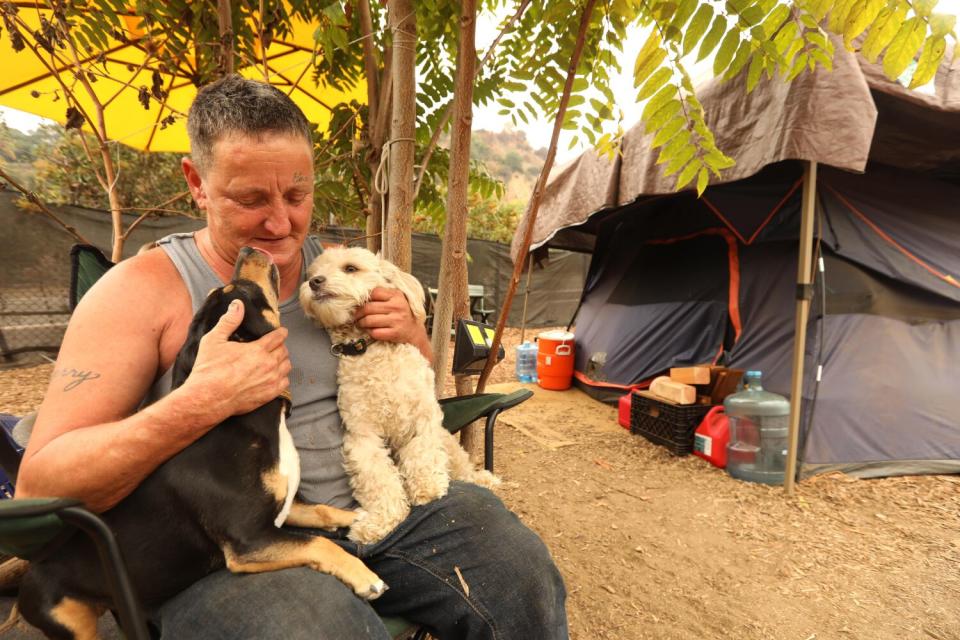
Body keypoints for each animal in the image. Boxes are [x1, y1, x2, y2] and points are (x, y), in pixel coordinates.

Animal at [15, 246, 382, 640]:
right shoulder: (249, 540)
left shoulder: (282, 510)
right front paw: (364, 576)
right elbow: (318, 541)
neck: (246, 422)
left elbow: (323, 512)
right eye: (243, 291)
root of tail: (27, 577)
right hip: (73, 623)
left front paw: (363, 515)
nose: (248, 249)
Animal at [302, 248, 498, 544]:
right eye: (312, 273)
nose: (315, 282)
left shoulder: (422, 418)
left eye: (350, 268)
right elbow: (378, 479)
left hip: (449, 444)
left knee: (464, 469)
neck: (371, 351)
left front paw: (427, 486)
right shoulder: (363, 437)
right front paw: (380, 522)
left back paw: (484, 480)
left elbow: (422, 455)